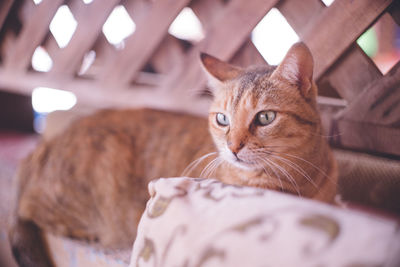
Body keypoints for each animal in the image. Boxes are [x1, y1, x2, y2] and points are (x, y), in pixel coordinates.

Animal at [7, 43, 336, 266]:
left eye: (265, 117)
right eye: (223, 119)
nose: (233, 147)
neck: (295, 181)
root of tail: (42, 147)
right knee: (29, 210)